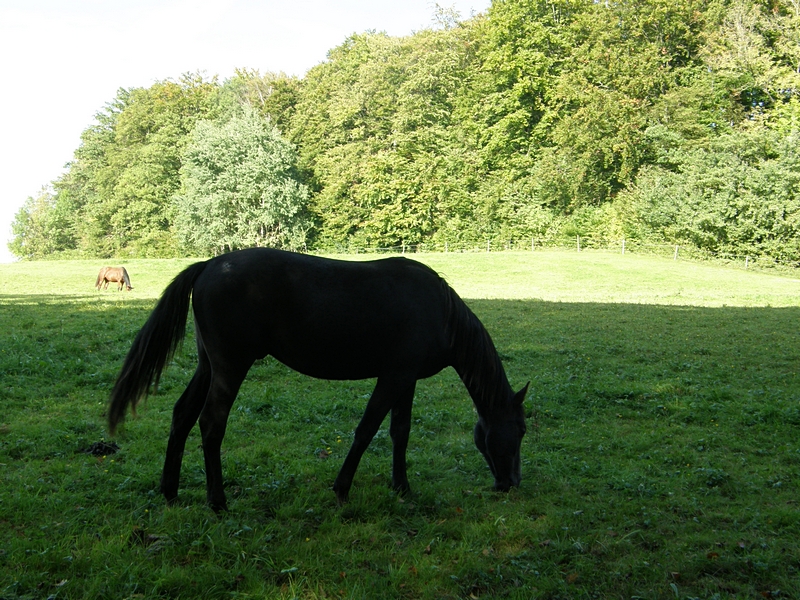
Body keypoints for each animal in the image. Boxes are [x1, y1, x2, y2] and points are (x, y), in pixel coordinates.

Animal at [108, 248, 532, 510]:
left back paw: (170, 492)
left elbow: (400, 431)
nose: (512, 483)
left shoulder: (406, 379)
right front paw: (342, 489)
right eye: (521, 431)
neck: (439, 310)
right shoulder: (393, 376)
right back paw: (218, 502)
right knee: (211, 424)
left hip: (207, 366)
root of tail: (211, 264)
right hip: (229, 368)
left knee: (181, 415)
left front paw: (402, 487)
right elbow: (367, 430)